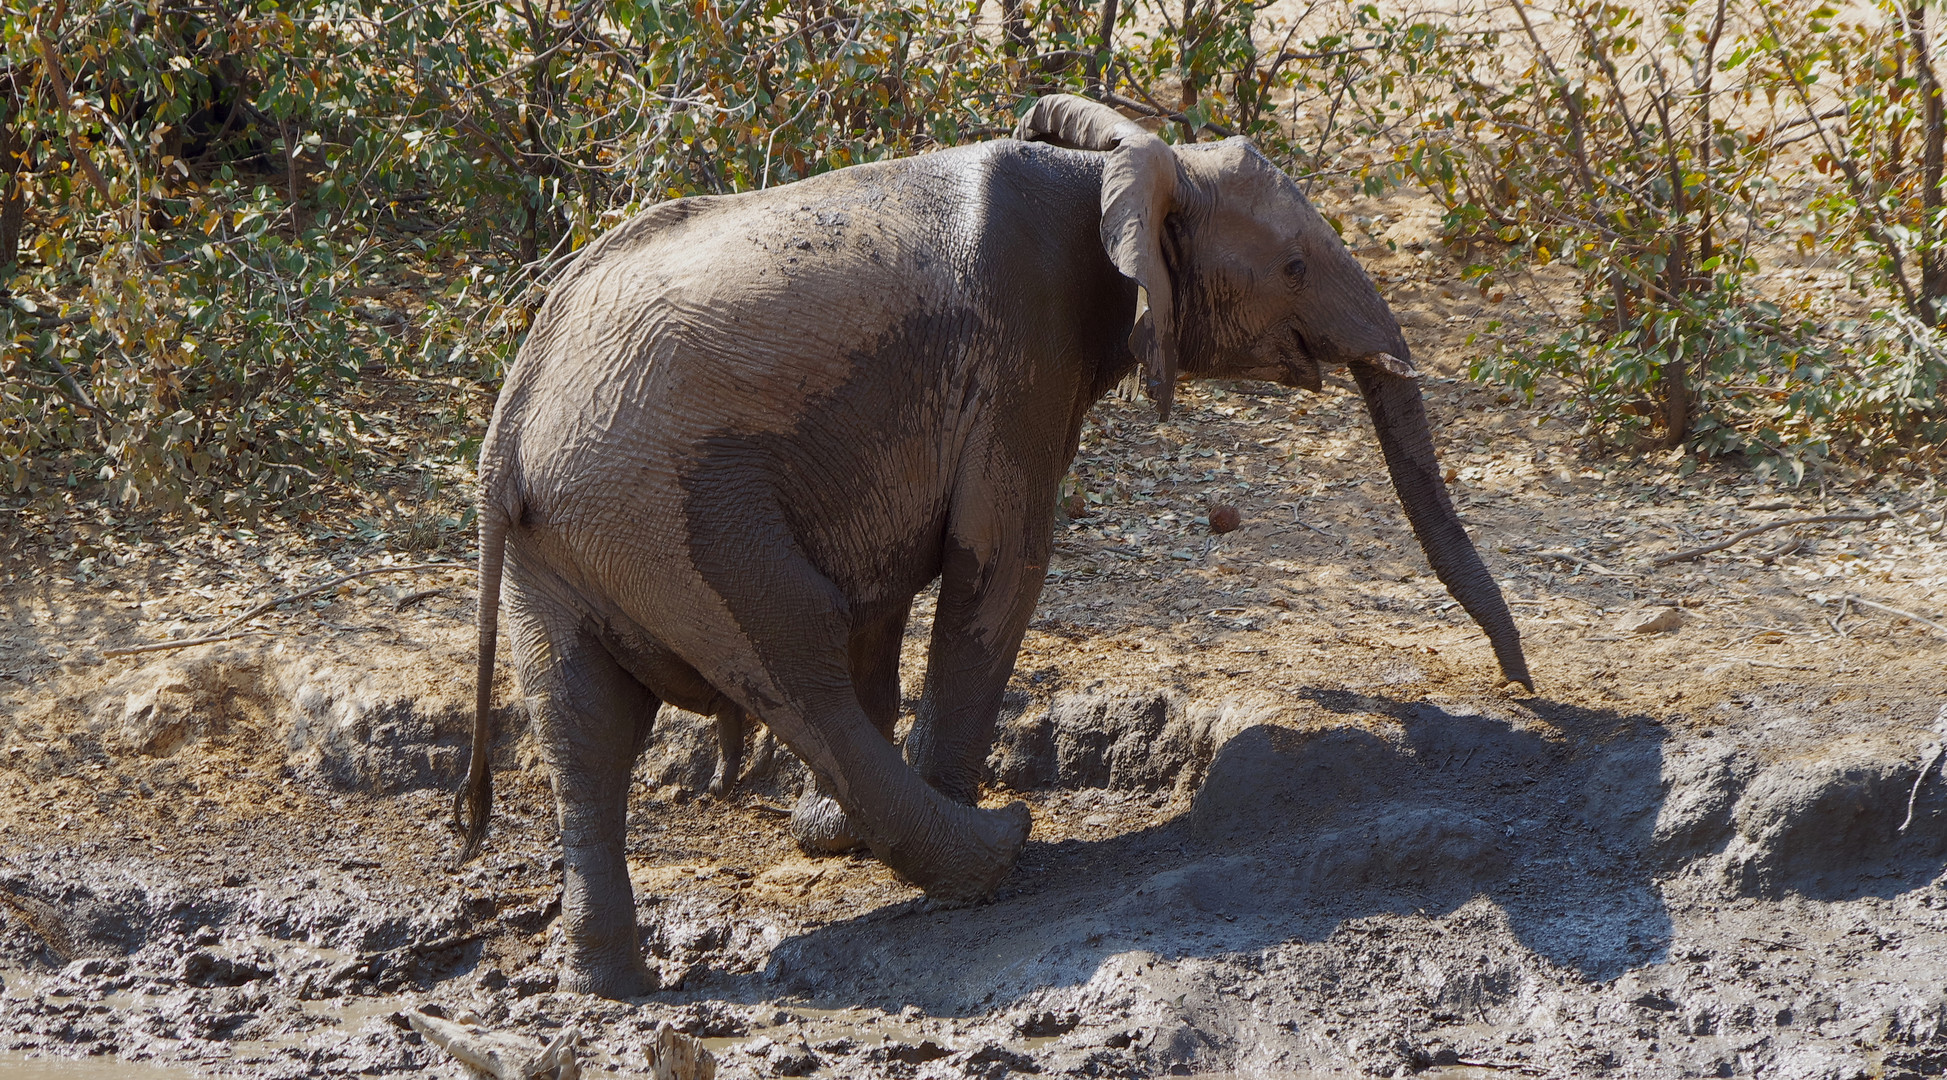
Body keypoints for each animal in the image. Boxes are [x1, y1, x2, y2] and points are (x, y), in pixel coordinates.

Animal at [459, 97, 1534, 1004]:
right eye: (1296, 268)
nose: (1519, 689)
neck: (1116, 170)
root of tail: (510, 425)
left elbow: (887, 602)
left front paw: (820, 834)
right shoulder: (1022, 351)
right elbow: (1001, 556)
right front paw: (861, 829)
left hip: (574, 539)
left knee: (584, 723)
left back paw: (613, 982)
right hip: (671, 509)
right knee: (793, 658)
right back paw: (996, 851)